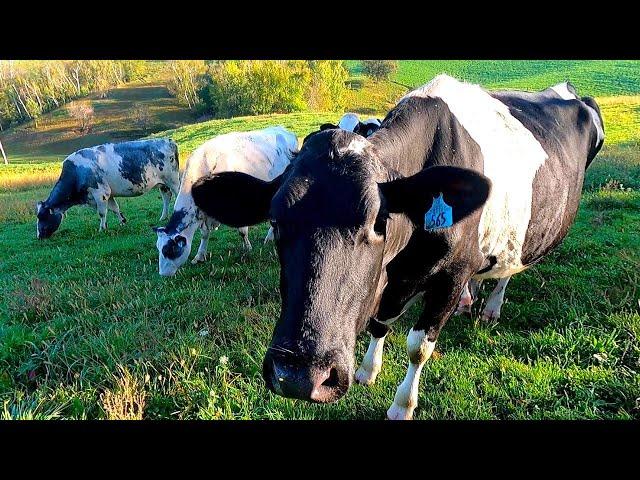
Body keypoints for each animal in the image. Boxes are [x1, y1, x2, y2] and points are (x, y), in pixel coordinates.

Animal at [36, 137, 179, 238]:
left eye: (42, 216)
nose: (39, 236)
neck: (77, 172)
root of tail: (168, 140)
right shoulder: (108, 194)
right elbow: (115, 208)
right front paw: (122, 222)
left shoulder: (100, 192)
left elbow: (102, 212)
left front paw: (102, 229)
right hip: (163, 183)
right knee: (166, 196)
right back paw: (163, 217)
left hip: (172, 179)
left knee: (177, 194)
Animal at [155, 126, 298, 278]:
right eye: (158, 248)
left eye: (168, 250)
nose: (162, 274)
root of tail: (282, 129)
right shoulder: (205, 214)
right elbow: (205, 234)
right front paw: (199, 256)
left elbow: (242, 231)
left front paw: (247, 248)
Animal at [190, 74, 604, 420]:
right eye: (275, 222)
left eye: (379, 221)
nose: (299, 375)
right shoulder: (393, 276)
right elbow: (381, 320)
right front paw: (368, 369)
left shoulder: (451, 276)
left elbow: (418, 345)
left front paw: (402, 405)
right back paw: (470, 301)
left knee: (509, 269)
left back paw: (491, 306)